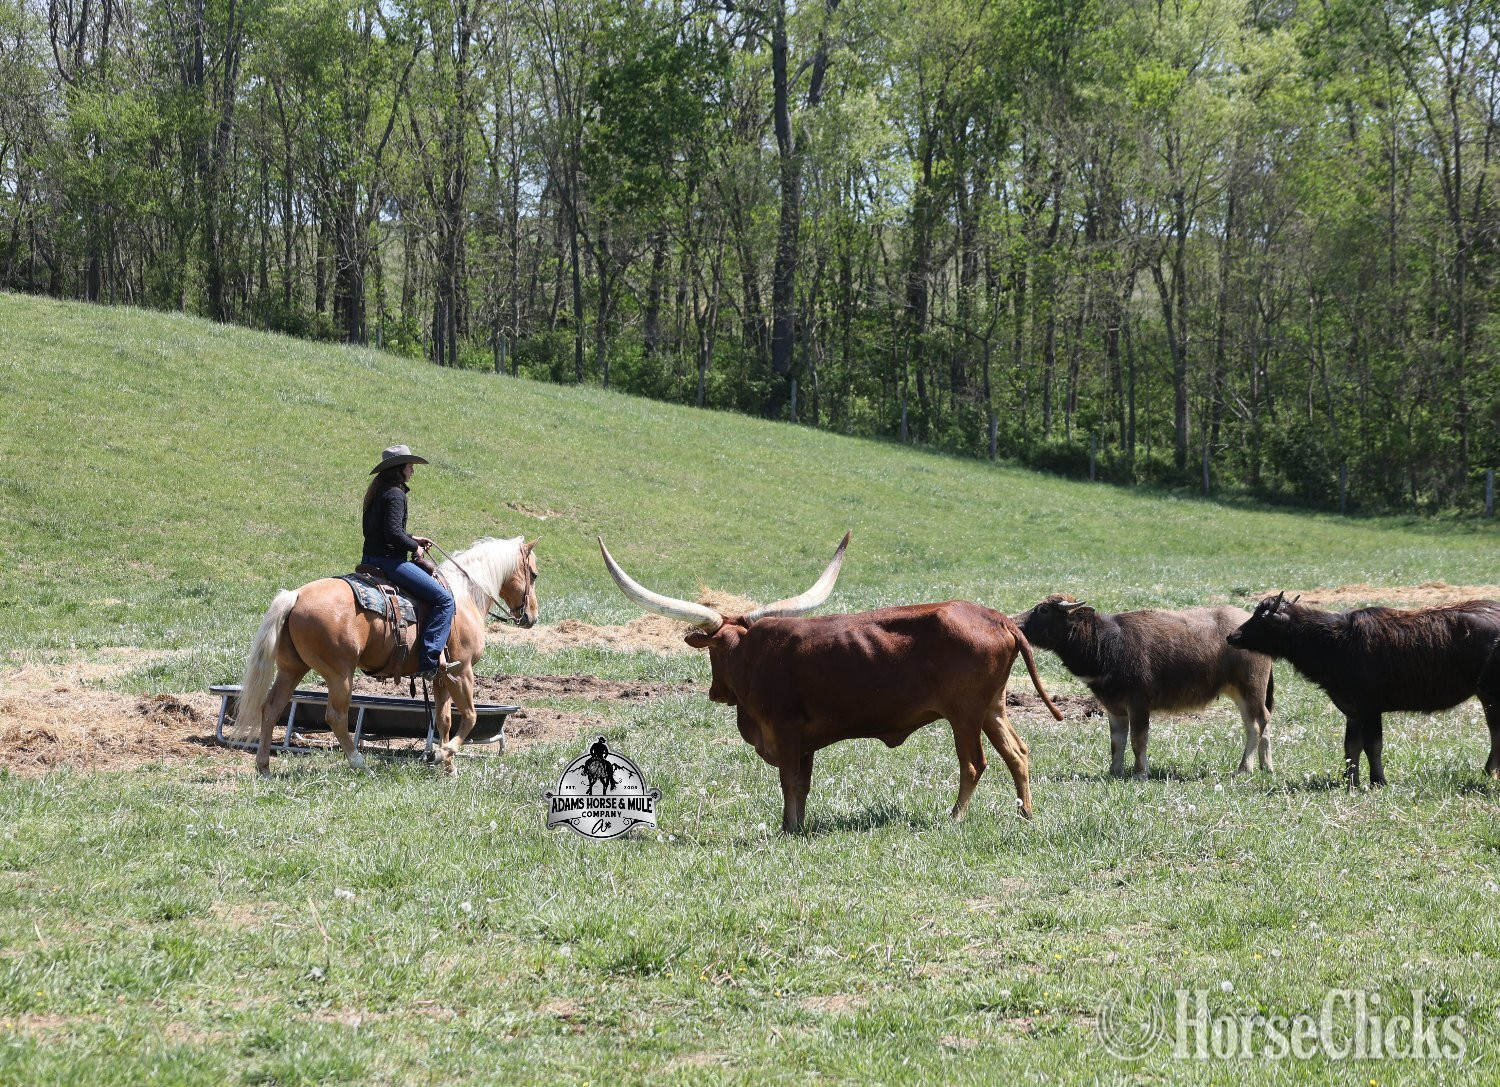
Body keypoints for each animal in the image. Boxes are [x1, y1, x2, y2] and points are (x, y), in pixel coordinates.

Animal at [232, 536, 539, 774]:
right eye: (534, 575)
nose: (532, 617)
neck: (463, 598)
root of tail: (295, 595)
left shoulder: (440, 677)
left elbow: (444, 719)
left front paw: (447, 766)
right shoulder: (461, 671)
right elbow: (471, 716)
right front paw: (442, 754)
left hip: (291, 668)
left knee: (272, 708)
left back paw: (264, 767)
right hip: (340, 674)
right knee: (336, 716)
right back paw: (359, 763)